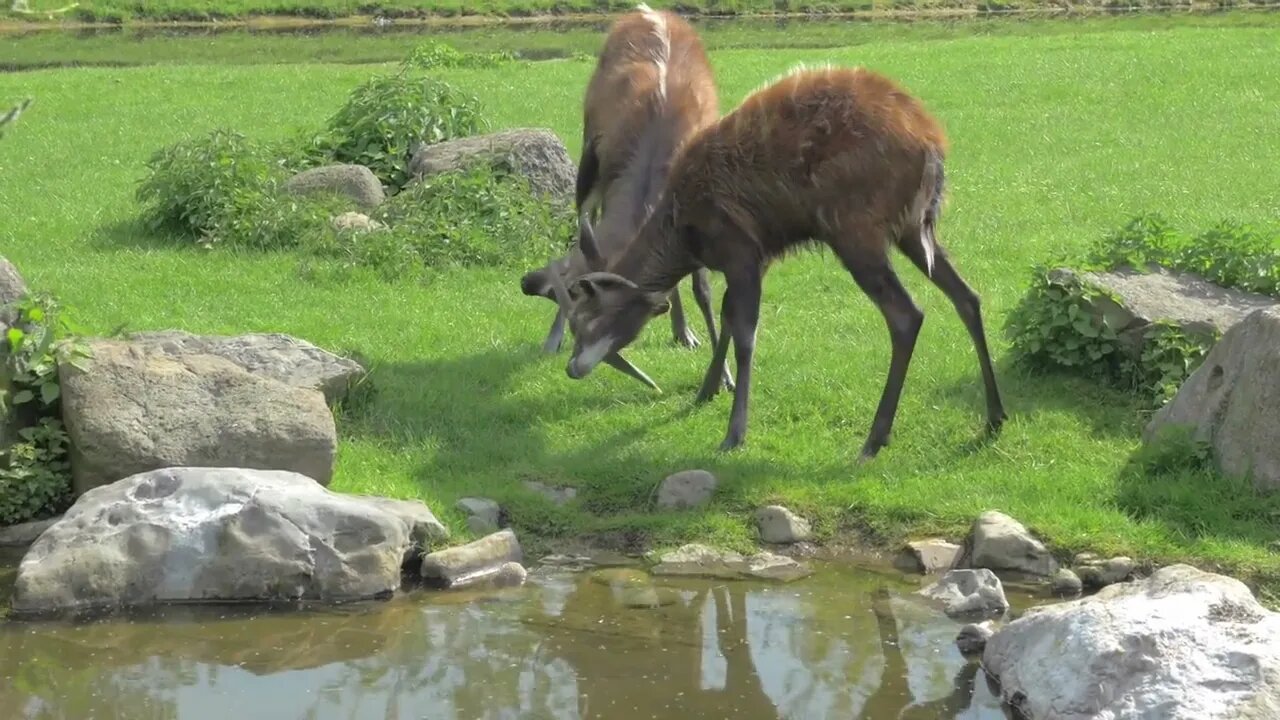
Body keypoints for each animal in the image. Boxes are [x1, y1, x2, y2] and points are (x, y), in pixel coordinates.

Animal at [512, 2, 732, 389]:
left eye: (605, 315)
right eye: (575, 299)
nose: (528, 281)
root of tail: (645, 10)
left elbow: (703, 289)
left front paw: (722, 375)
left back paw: (684, 332)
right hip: (588, 156)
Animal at [550, 61, 1008, 453]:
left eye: (590, 317)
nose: (572, 368)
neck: (684, 235)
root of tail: (933, 148)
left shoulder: (740, 249)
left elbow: (746, 333)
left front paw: (735, 432)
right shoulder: (757, 257)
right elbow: (729, 315)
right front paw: (706, 390)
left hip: (854, 229)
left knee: (907, 314)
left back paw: (875, 438)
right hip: (915, 229)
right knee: (967, 296)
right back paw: (994, 417)